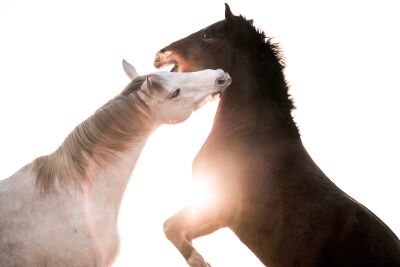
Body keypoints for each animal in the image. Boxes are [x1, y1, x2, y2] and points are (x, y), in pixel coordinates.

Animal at [153, 4, 400, 267]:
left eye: (207, 35)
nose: (160, 55)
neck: (248, 132)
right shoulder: (220, 218)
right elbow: (178, 229)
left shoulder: (218, 205)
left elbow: (170, 226)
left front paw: (199, 261)